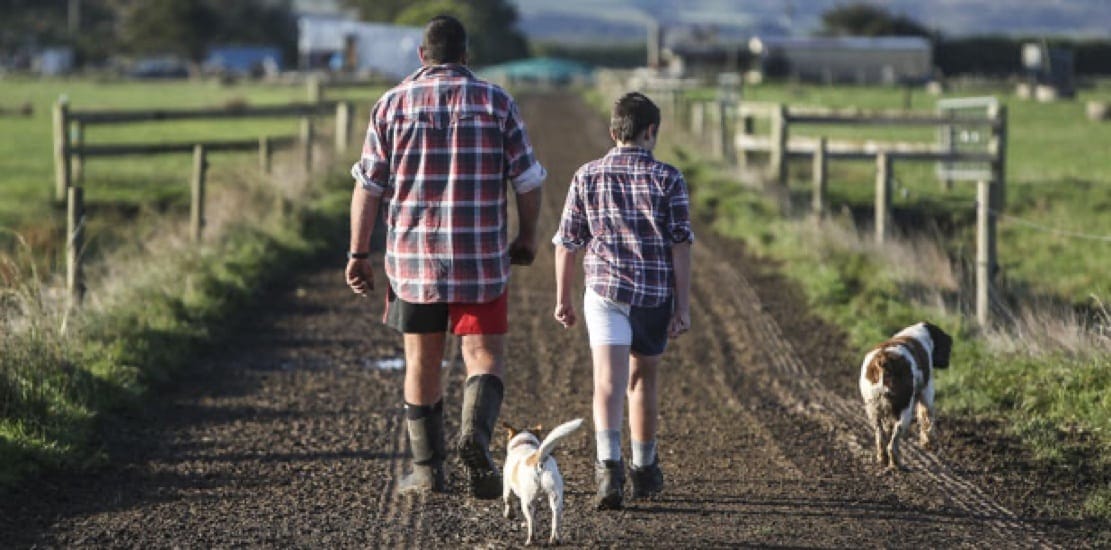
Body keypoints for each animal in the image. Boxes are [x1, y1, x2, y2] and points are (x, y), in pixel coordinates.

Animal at [857, 322, 955, 473]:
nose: (947, 363)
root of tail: (883, 360)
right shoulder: (926, 393)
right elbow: (927, 420)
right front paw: (928, 443)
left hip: (873, 411)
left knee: (881, 437)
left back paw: (883, 459)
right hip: (905, 411)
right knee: (893, 444)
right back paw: (897, 464)